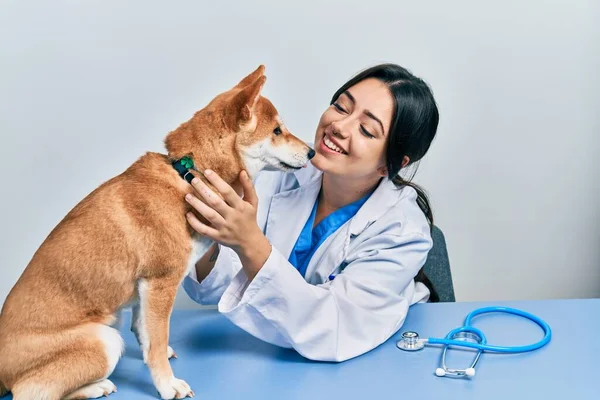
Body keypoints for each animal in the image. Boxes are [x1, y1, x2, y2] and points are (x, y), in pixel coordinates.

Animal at [0, 65, 316, 400]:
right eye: (277, 131)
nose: (311, 152)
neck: (188, 174)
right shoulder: (160, 282)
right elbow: (157, 339)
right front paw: (167, 384)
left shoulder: (145, 289)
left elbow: (146, 333)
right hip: (104, 340)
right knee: (29, 391)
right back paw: (96, 385)